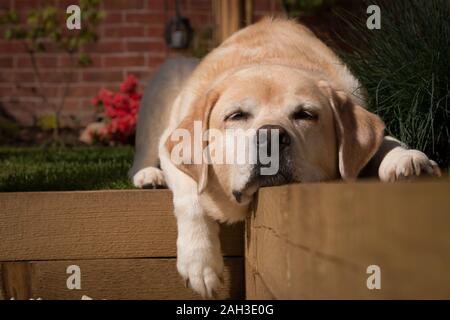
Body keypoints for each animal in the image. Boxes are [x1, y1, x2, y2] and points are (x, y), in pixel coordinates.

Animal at [128, 18, 442, 298]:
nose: (270, 137)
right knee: (141, 159)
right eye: (236, 116)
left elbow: (386, 142)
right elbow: (191, 196)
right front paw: (199, 263)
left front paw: (407, 161)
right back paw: (149, 176)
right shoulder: (174, 145)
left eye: (306, 114)